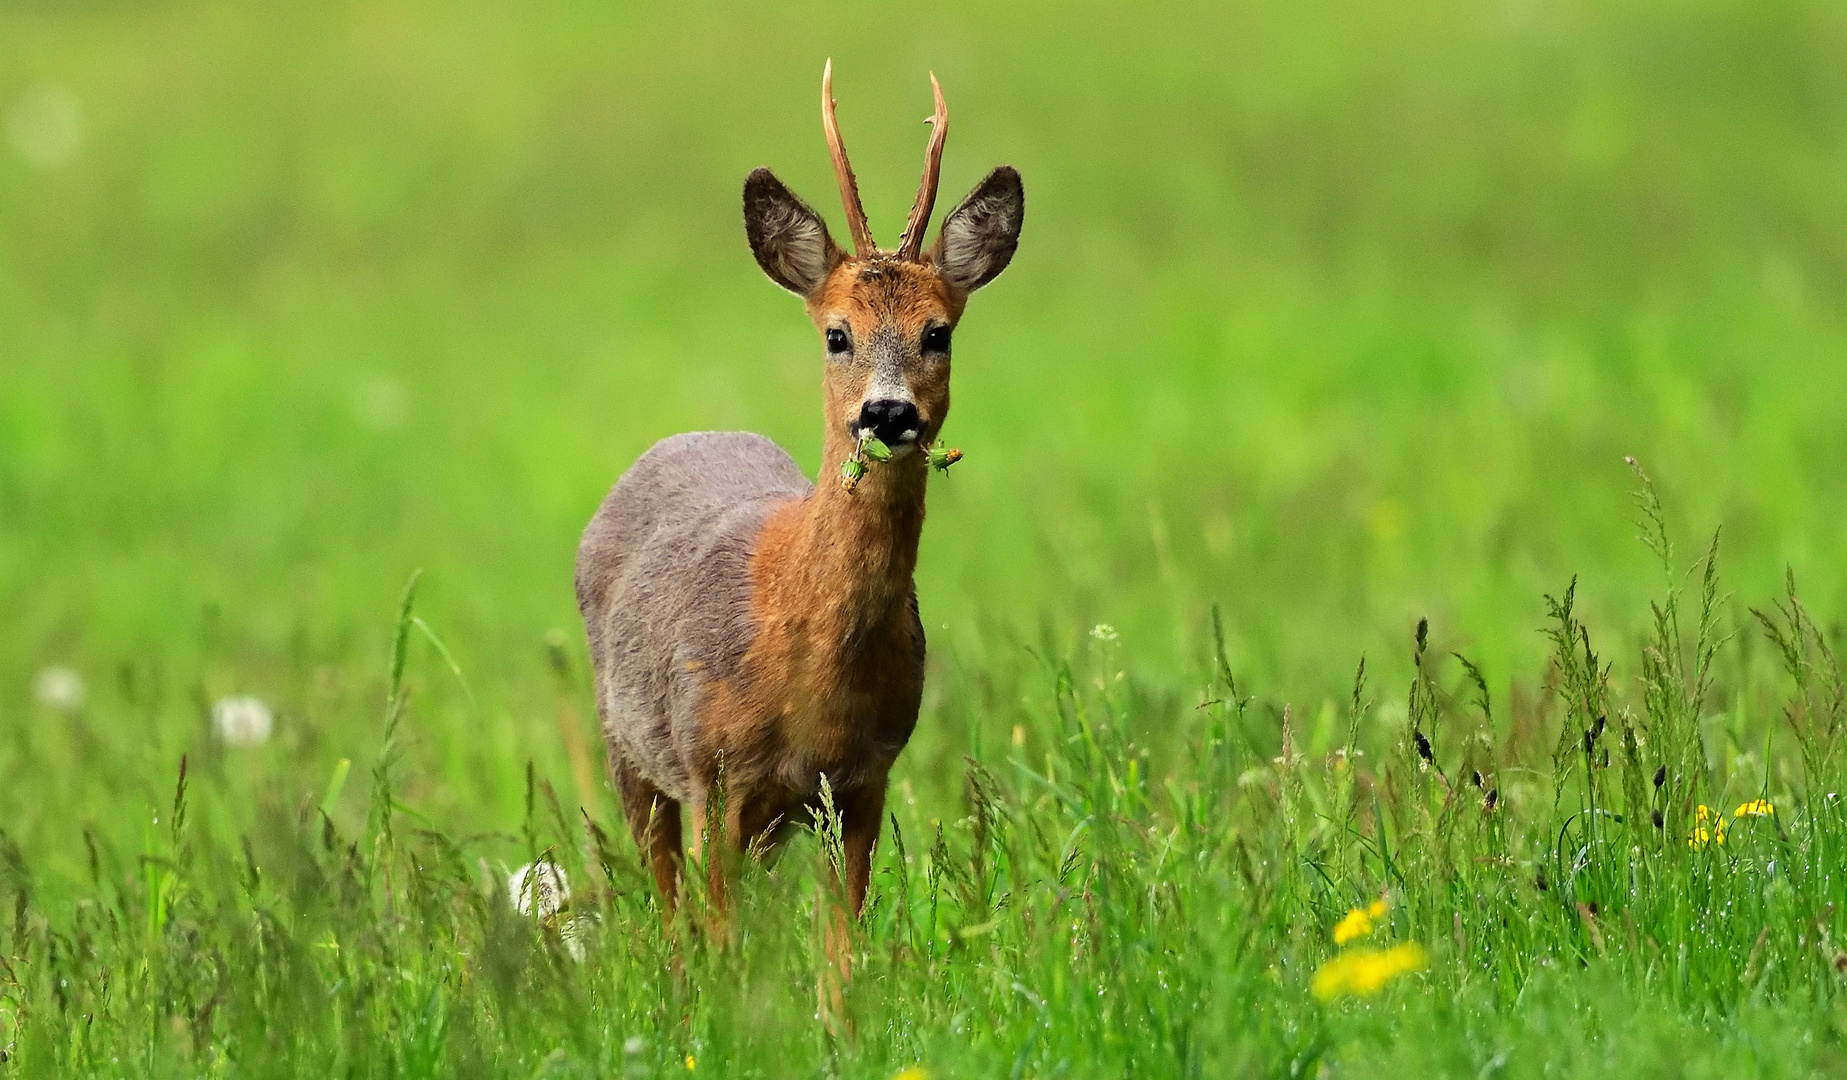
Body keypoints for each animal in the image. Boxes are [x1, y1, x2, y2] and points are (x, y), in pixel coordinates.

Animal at [576, 63, 1026, 926]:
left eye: (938, 332)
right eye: (836, 334)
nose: (888, 414)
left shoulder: (863, 782)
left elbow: (843, 946)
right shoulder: (713, 774)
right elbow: (719, 935)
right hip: (628, 747)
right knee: (668, 910)